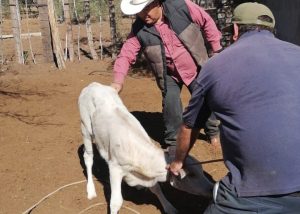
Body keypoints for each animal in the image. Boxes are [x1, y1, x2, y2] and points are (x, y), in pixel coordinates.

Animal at [77, 82, 213, 214]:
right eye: (192, 175)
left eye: (202, 170)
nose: (212, 188)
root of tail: (93, 85)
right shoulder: (115, 167)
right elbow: (116, 202)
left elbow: (156, 188)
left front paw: (169, 207)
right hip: (85, 129)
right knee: (88, 157)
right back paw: (91, 190)